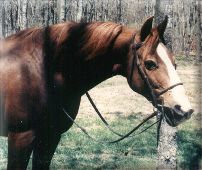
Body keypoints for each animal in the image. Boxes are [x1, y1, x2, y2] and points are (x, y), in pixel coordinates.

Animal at [0, 15, 193, 169]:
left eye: (174, 63)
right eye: (150, 64)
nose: (184, 110)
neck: (44, 71)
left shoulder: (50, 137)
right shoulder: (21, 138)